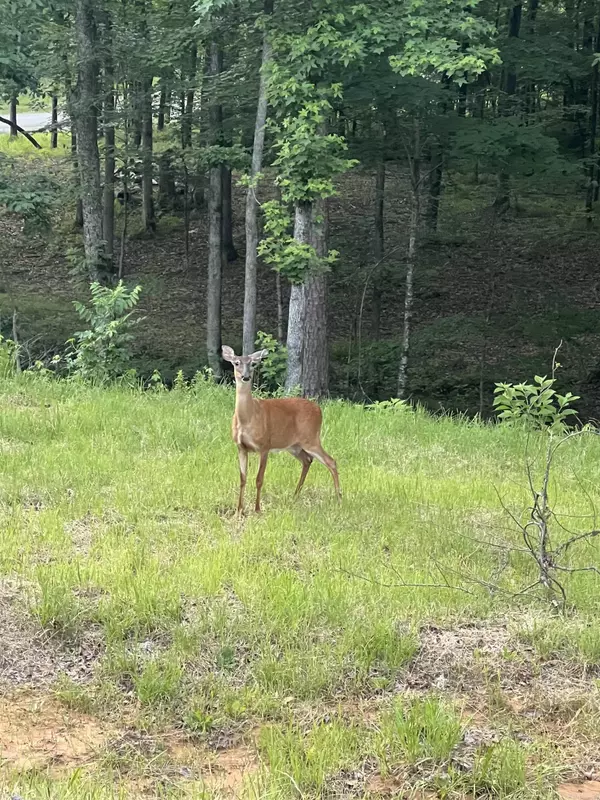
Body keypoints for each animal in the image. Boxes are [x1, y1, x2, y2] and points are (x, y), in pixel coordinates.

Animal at [221, 346, 342, 516]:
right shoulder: (241, 447)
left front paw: (257, 509)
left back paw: (339, 498)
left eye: (253, 364)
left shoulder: (264, 445)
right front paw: (239, 511)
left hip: (311, 438)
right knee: (307, 460)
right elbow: (242, 479)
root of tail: (319, 409)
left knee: (331, 461)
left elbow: (259, 479)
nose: (245, 377)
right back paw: (295, 495)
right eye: (236, 363)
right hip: (294, 446)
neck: (247, 418)